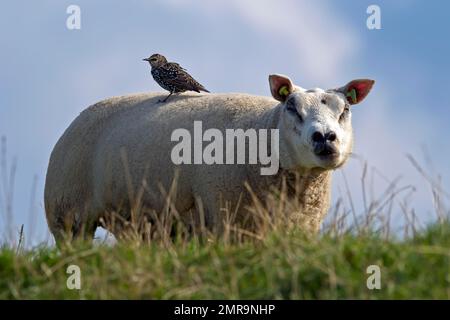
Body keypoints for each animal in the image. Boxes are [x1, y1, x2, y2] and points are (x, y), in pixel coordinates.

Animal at [44, 74, 374, 241]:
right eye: (292, 107)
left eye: (345, 109)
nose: (324, 137)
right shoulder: (223, 214)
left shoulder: (299, 227)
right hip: (66, 215)